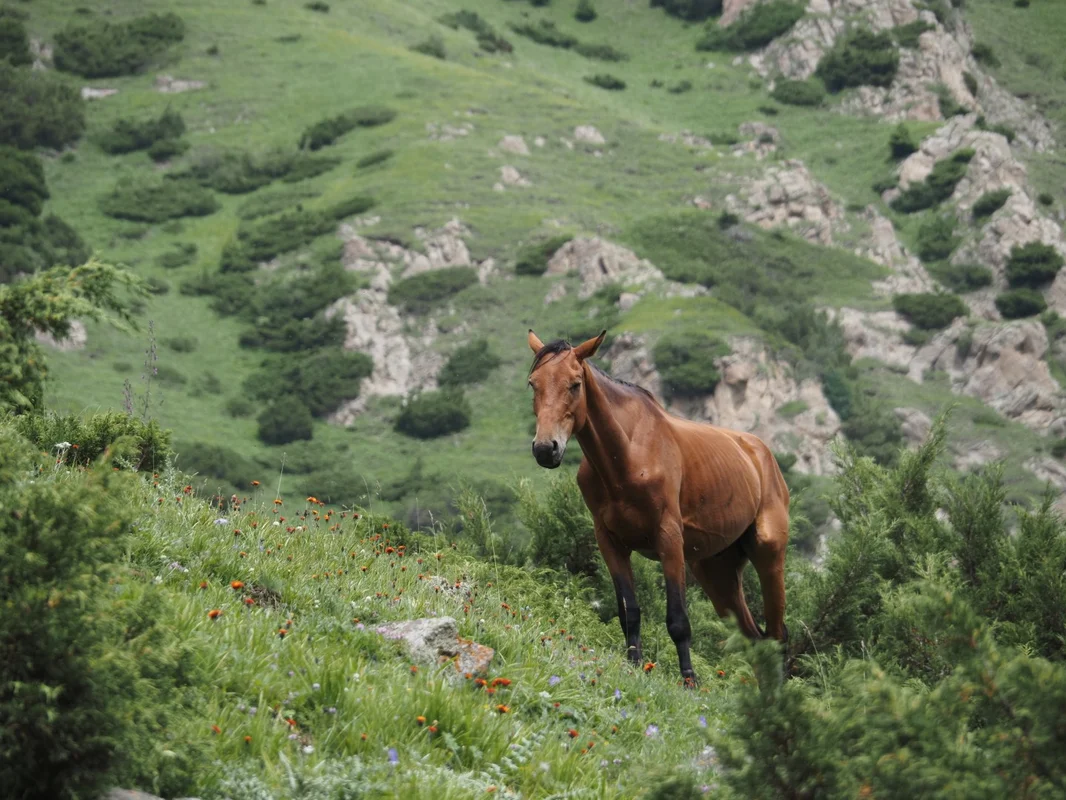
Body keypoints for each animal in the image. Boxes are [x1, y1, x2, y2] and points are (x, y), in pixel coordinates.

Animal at [526, 329, 790, 686]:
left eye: (575, 384)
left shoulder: (668, 538)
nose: (545, 449)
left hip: (768, 555)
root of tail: (762, 454)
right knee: (756, 641)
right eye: (533, 384)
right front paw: (634, 665)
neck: (628, 457)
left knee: (776, 637)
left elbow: (678, 620)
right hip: (716, 571)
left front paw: (689, 681)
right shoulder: (609, 541)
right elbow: (630, 612)